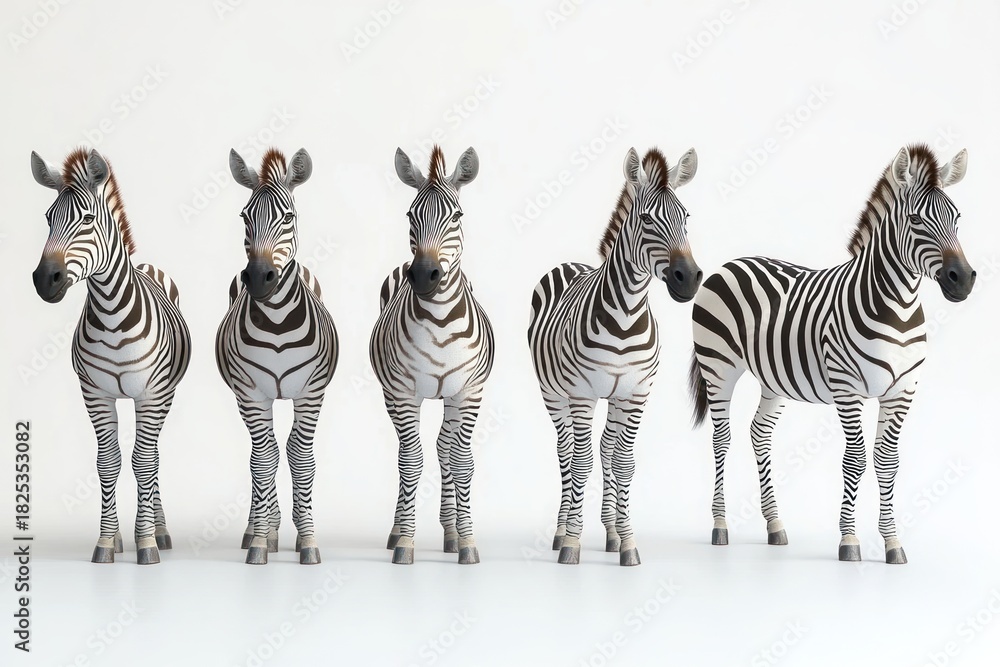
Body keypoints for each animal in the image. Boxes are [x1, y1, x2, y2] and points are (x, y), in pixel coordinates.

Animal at [30, 148, 191, 565]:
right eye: (48, 218)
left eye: (87, 220)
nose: (45, 280)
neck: (112, 314)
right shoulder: (95, 394)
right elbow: (109, 462)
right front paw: (106, 541)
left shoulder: (150, 394)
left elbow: (143, 461)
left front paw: (146, 542)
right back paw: (124, 536)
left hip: (166, 395)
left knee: (153, 457)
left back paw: (159, 532)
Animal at [216, 147, 339, 565]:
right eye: (244, 217)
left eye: (288, 217)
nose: (258, 278)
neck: (277, 324)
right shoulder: (252, 394)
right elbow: (264, 460)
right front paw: (260, 541)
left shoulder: (311, 393)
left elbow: (300, 458)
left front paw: (308, 540)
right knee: (260, 454)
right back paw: (262, 530)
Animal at [370, 145, 493, 565]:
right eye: (411, 215)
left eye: (457, 215)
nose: (424, 275)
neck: (439, 322)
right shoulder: (404, 393)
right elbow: (411, 462)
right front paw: (405, 544)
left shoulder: (469, 392)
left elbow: (462, 462)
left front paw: (467, 541)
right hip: (390, 395)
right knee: (408, 452)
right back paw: (396, 531)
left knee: (445, 449)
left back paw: (451, 532)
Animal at [528, 147, 703, 566]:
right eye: (646, 219)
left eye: (686, 217)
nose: (689, 279)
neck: (625, 318)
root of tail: (570, 264)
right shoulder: (582, 394)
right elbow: (580, 463)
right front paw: (572, 544)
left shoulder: (636, 394)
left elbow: (623, 463)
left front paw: (626, 541)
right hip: (552, 393)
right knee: (566, 452)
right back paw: (561, 531)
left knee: (607, 449)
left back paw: (609, 530)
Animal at [689, 144, 975, 564]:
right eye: (915, 220)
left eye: (957, 218)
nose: (964, 279)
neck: (899, 309)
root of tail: (732, 263)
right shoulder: (847, 388)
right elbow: (855, 459)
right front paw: (849, 541)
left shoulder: (902, 391)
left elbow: (888, 461)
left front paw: (892, 543)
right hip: (718, 366)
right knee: (721, 437)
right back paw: (720, 525)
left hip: (773, 379)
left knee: (759, 432)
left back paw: (775, 525)